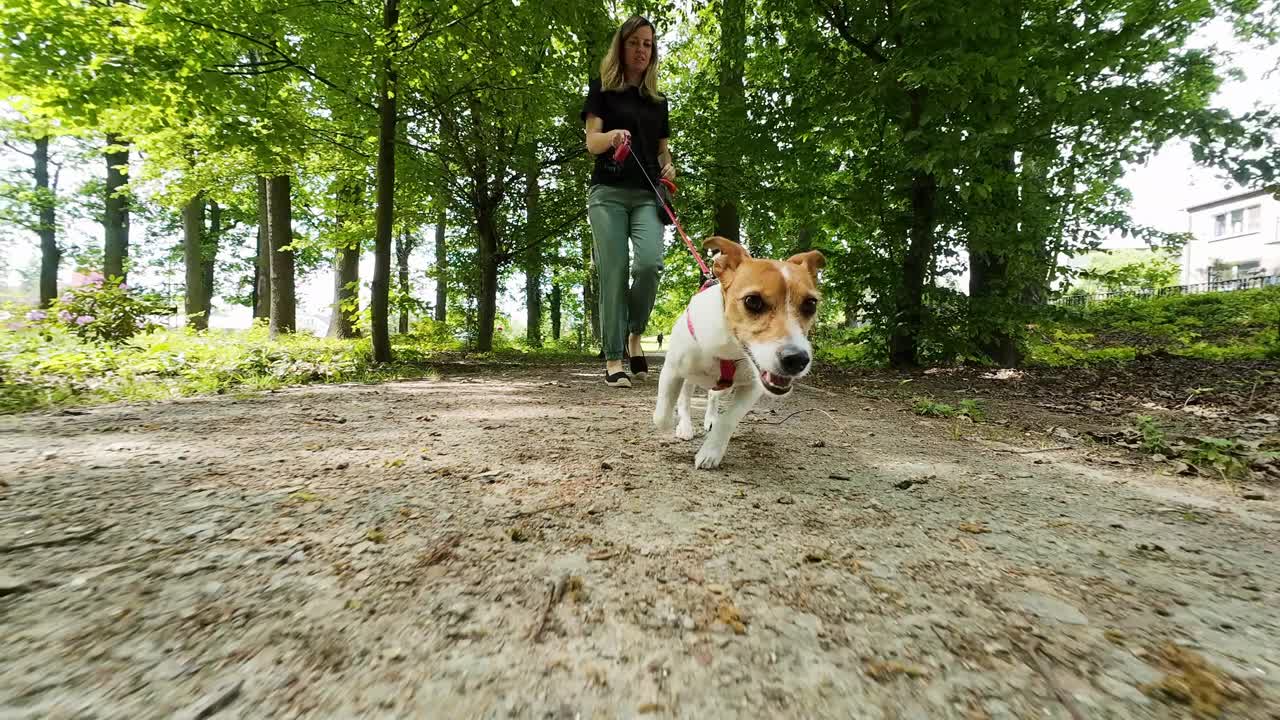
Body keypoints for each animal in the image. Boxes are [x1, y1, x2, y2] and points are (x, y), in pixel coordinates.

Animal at [655, 235, 824, 468]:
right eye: (752, 301)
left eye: (811, 304)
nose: (796, 359)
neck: (729, 345)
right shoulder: (673, 370)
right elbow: (663, 414)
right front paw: (675, 424)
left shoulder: (752, 388)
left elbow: (729, 419)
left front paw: (711, 452)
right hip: (689, 379)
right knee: (686, 397)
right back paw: (686, 426)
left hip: (724, 388)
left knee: (713, 396)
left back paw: (710, 418)